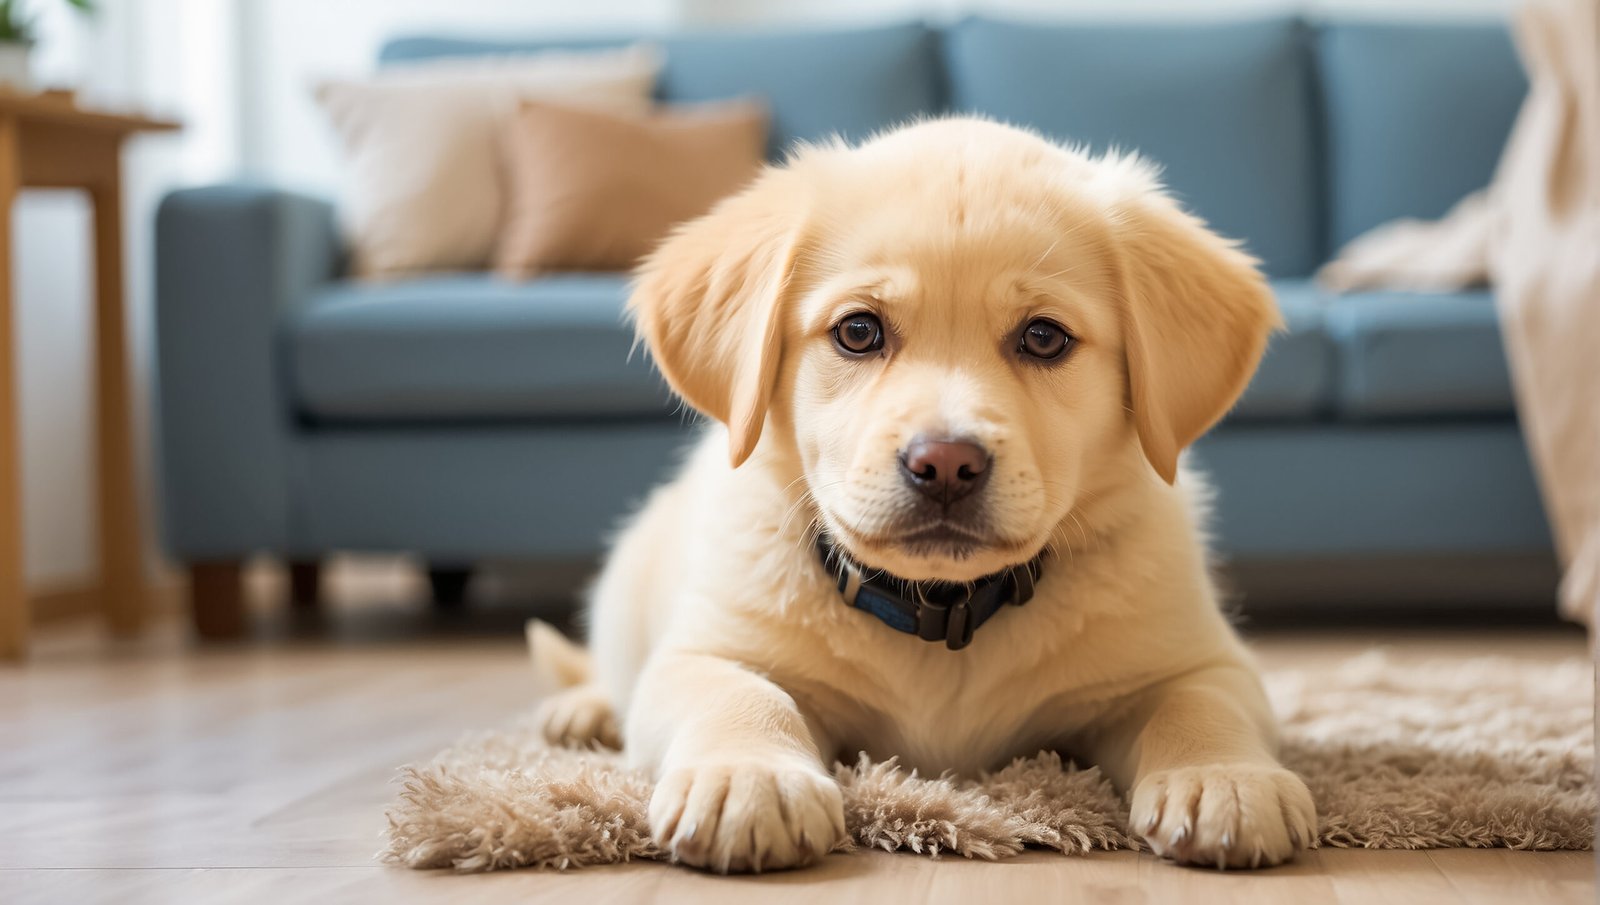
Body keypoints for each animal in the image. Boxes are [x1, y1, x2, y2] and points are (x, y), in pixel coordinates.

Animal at [531, 116, 1318, 876]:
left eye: (1044, 337)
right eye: (858, 331)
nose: (944, 464)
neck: (942, 612)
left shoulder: (1197, 658)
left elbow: (1200, 703)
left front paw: (1225, 778)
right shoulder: (706, 648)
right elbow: (740, 694)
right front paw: (749, 777)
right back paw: (584, 710)